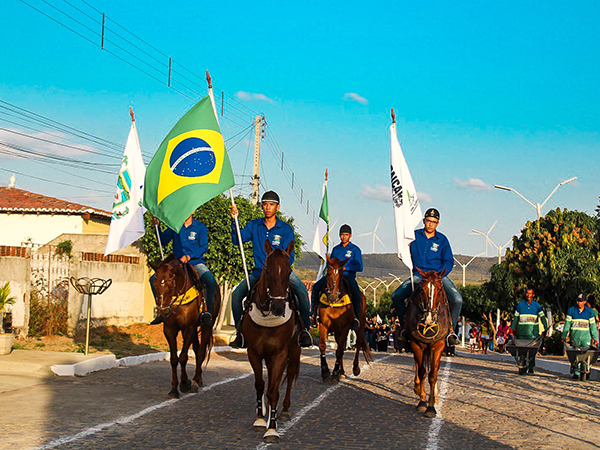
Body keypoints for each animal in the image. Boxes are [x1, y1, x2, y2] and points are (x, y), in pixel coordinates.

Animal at [151, 255, 221, 400]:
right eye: (155, 285)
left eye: (170, 285)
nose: (162, 313)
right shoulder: (169, 329)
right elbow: (173, 359)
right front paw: (174, 389)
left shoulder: (188, 328)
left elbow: (183, 357)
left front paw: (184, 383)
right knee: (196, 349)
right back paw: (198, 379)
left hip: (206, 326)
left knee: (201, 352)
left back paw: (195, 381)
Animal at [241, 239, 302, 442]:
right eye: (267, 271)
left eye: (289, 272)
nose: (278, 307)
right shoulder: (254, 352)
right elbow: (260, 385)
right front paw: (261, 418)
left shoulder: (279, 354)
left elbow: (274, 391)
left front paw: (272, 429)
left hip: (294, 349)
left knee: (289, 375)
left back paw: (284, 411)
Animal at [406, 268, 452, 418]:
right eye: (422, 290)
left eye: (439, 289)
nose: (429, 320)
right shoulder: (416, 344)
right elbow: (422, 372)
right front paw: (422, 401)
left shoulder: (438, 346)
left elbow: (433, 375)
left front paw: (431, 406)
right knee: (418, 366)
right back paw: (417, 388)